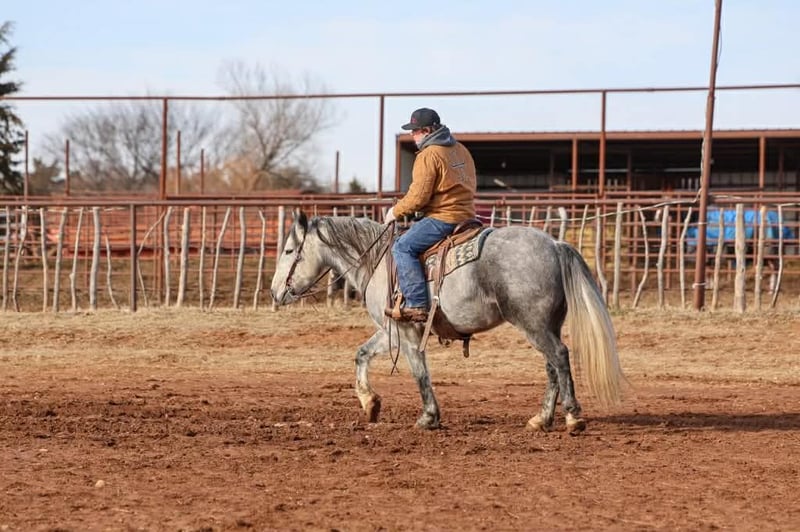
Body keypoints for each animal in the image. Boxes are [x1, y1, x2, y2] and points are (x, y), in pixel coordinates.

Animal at [270, 210, 626, 433]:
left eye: (288, 251)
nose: (275, 292)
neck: (377, 261)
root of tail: (554, 244)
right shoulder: (391, 331)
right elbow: (361, 354)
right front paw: (370, 404)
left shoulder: (407, 332)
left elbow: (420, 373)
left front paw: (428, 417)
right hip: (545, 325)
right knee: (552, 366)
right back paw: (541, 419)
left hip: (534, 326)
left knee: (560, 358)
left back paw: (573, 417)